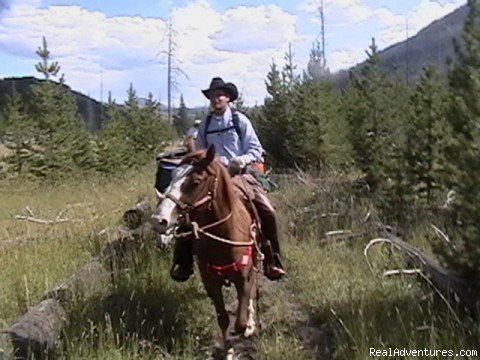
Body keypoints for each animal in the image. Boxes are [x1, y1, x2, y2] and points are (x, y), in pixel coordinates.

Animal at [153, 145, 258, 358]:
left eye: (196, 181)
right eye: (172, 176)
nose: (159, 220)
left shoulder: (243, 277)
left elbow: (240, 321)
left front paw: (248, 327)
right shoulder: (211, 282)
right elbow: (223, 318)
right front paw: (228, 351)